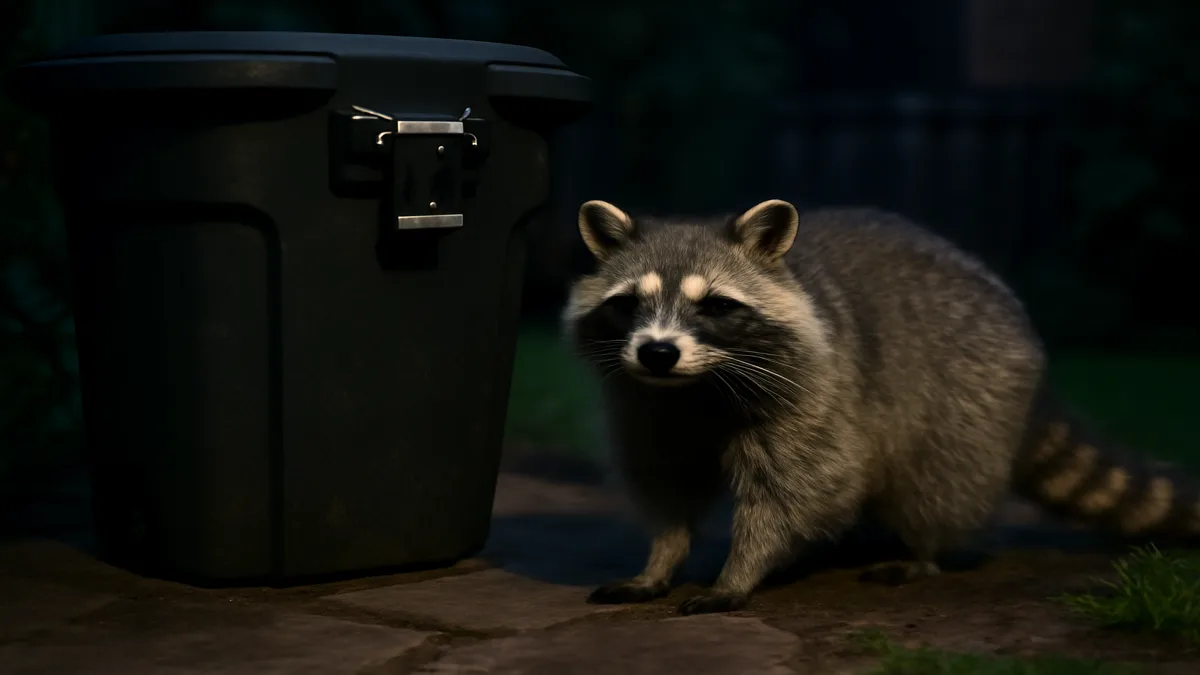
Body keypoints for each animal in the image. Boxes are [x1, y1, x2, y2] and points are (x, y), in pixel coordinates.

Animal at [561, 198, 1200, 616]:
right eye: (628, 303)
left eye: (716, 305)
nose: (658, 352)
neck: (696, 387)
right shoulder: (646, 408)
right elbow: (666, 486)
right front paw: (660, 560)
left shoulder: (817, 392)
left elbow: (802, 489)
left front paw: (738, 572)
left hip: (971, 388)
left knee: (938, 482)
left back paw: (922, 550)